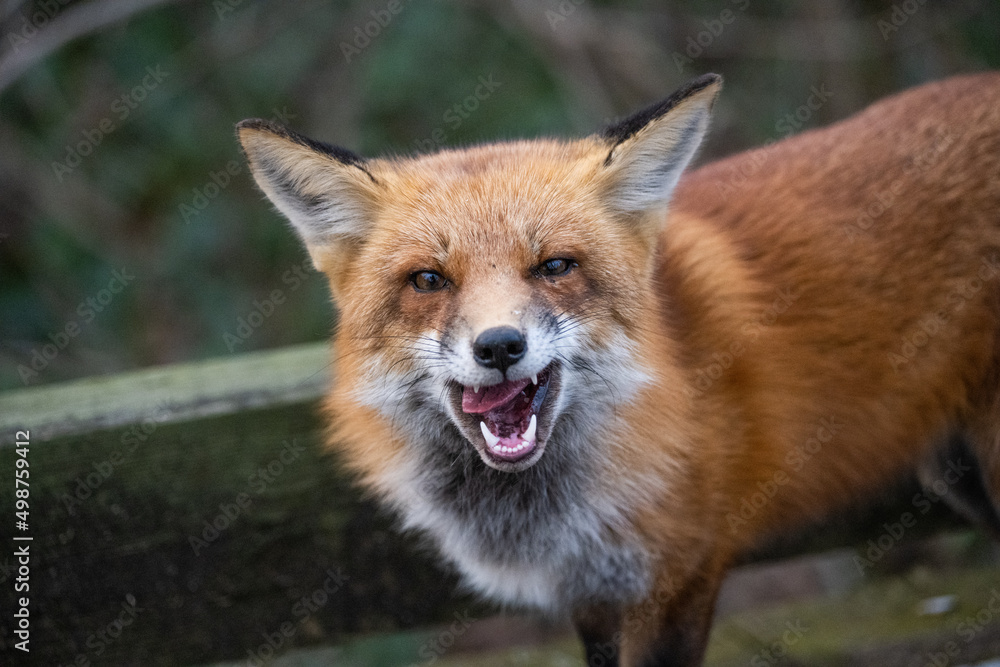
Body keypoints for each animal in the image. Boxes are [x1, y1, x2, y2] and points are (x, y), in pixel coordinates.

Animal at [237, 72, 1000, 666]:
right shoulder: (593, 595)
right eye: (428, 280)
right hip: (958, 475)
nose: (500, 346)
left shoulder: (681, 578)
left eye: (555, 266)